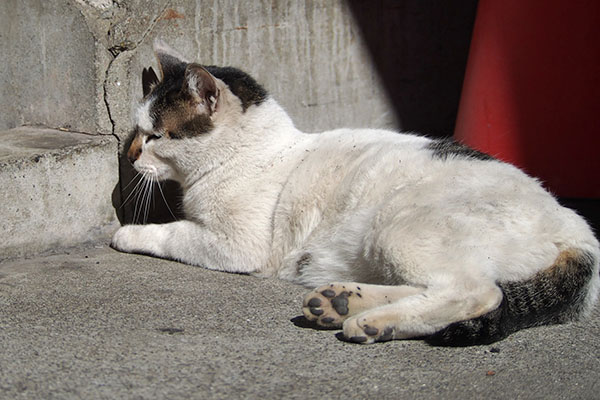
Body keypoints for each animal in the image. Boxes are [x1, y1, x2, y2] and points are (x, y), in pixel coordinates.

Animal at [110, 41, 596, 346]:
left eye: (155, 136)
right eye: (140, 132)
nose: (130, 156)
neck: (253, 152)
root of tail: (578, 229)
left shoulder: (237, 245)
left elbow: (174, 232)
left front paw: (129, 233)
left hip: (399, 226)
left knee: (477, 292)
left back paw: (372, 323)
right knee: (431, 286)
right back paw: (340, 303)